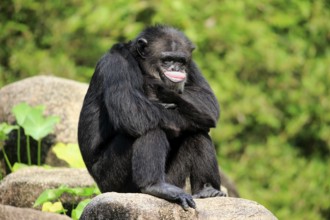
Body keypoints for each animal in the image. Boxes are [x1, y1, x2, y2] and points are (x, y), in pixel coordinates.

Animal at [78, 24, 227, 210]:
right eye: (167, 60)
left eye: (181, 61)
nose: (176, 69)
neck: (140, 64)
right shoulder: (116, 64)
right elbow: (131, 109)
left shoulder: (192, 66)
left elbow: (207, 99)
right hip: (113, 182)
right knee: (149, 127)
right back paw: (155, 185)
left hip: (173, 178)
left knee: (197, 133)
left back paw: (208, 189)